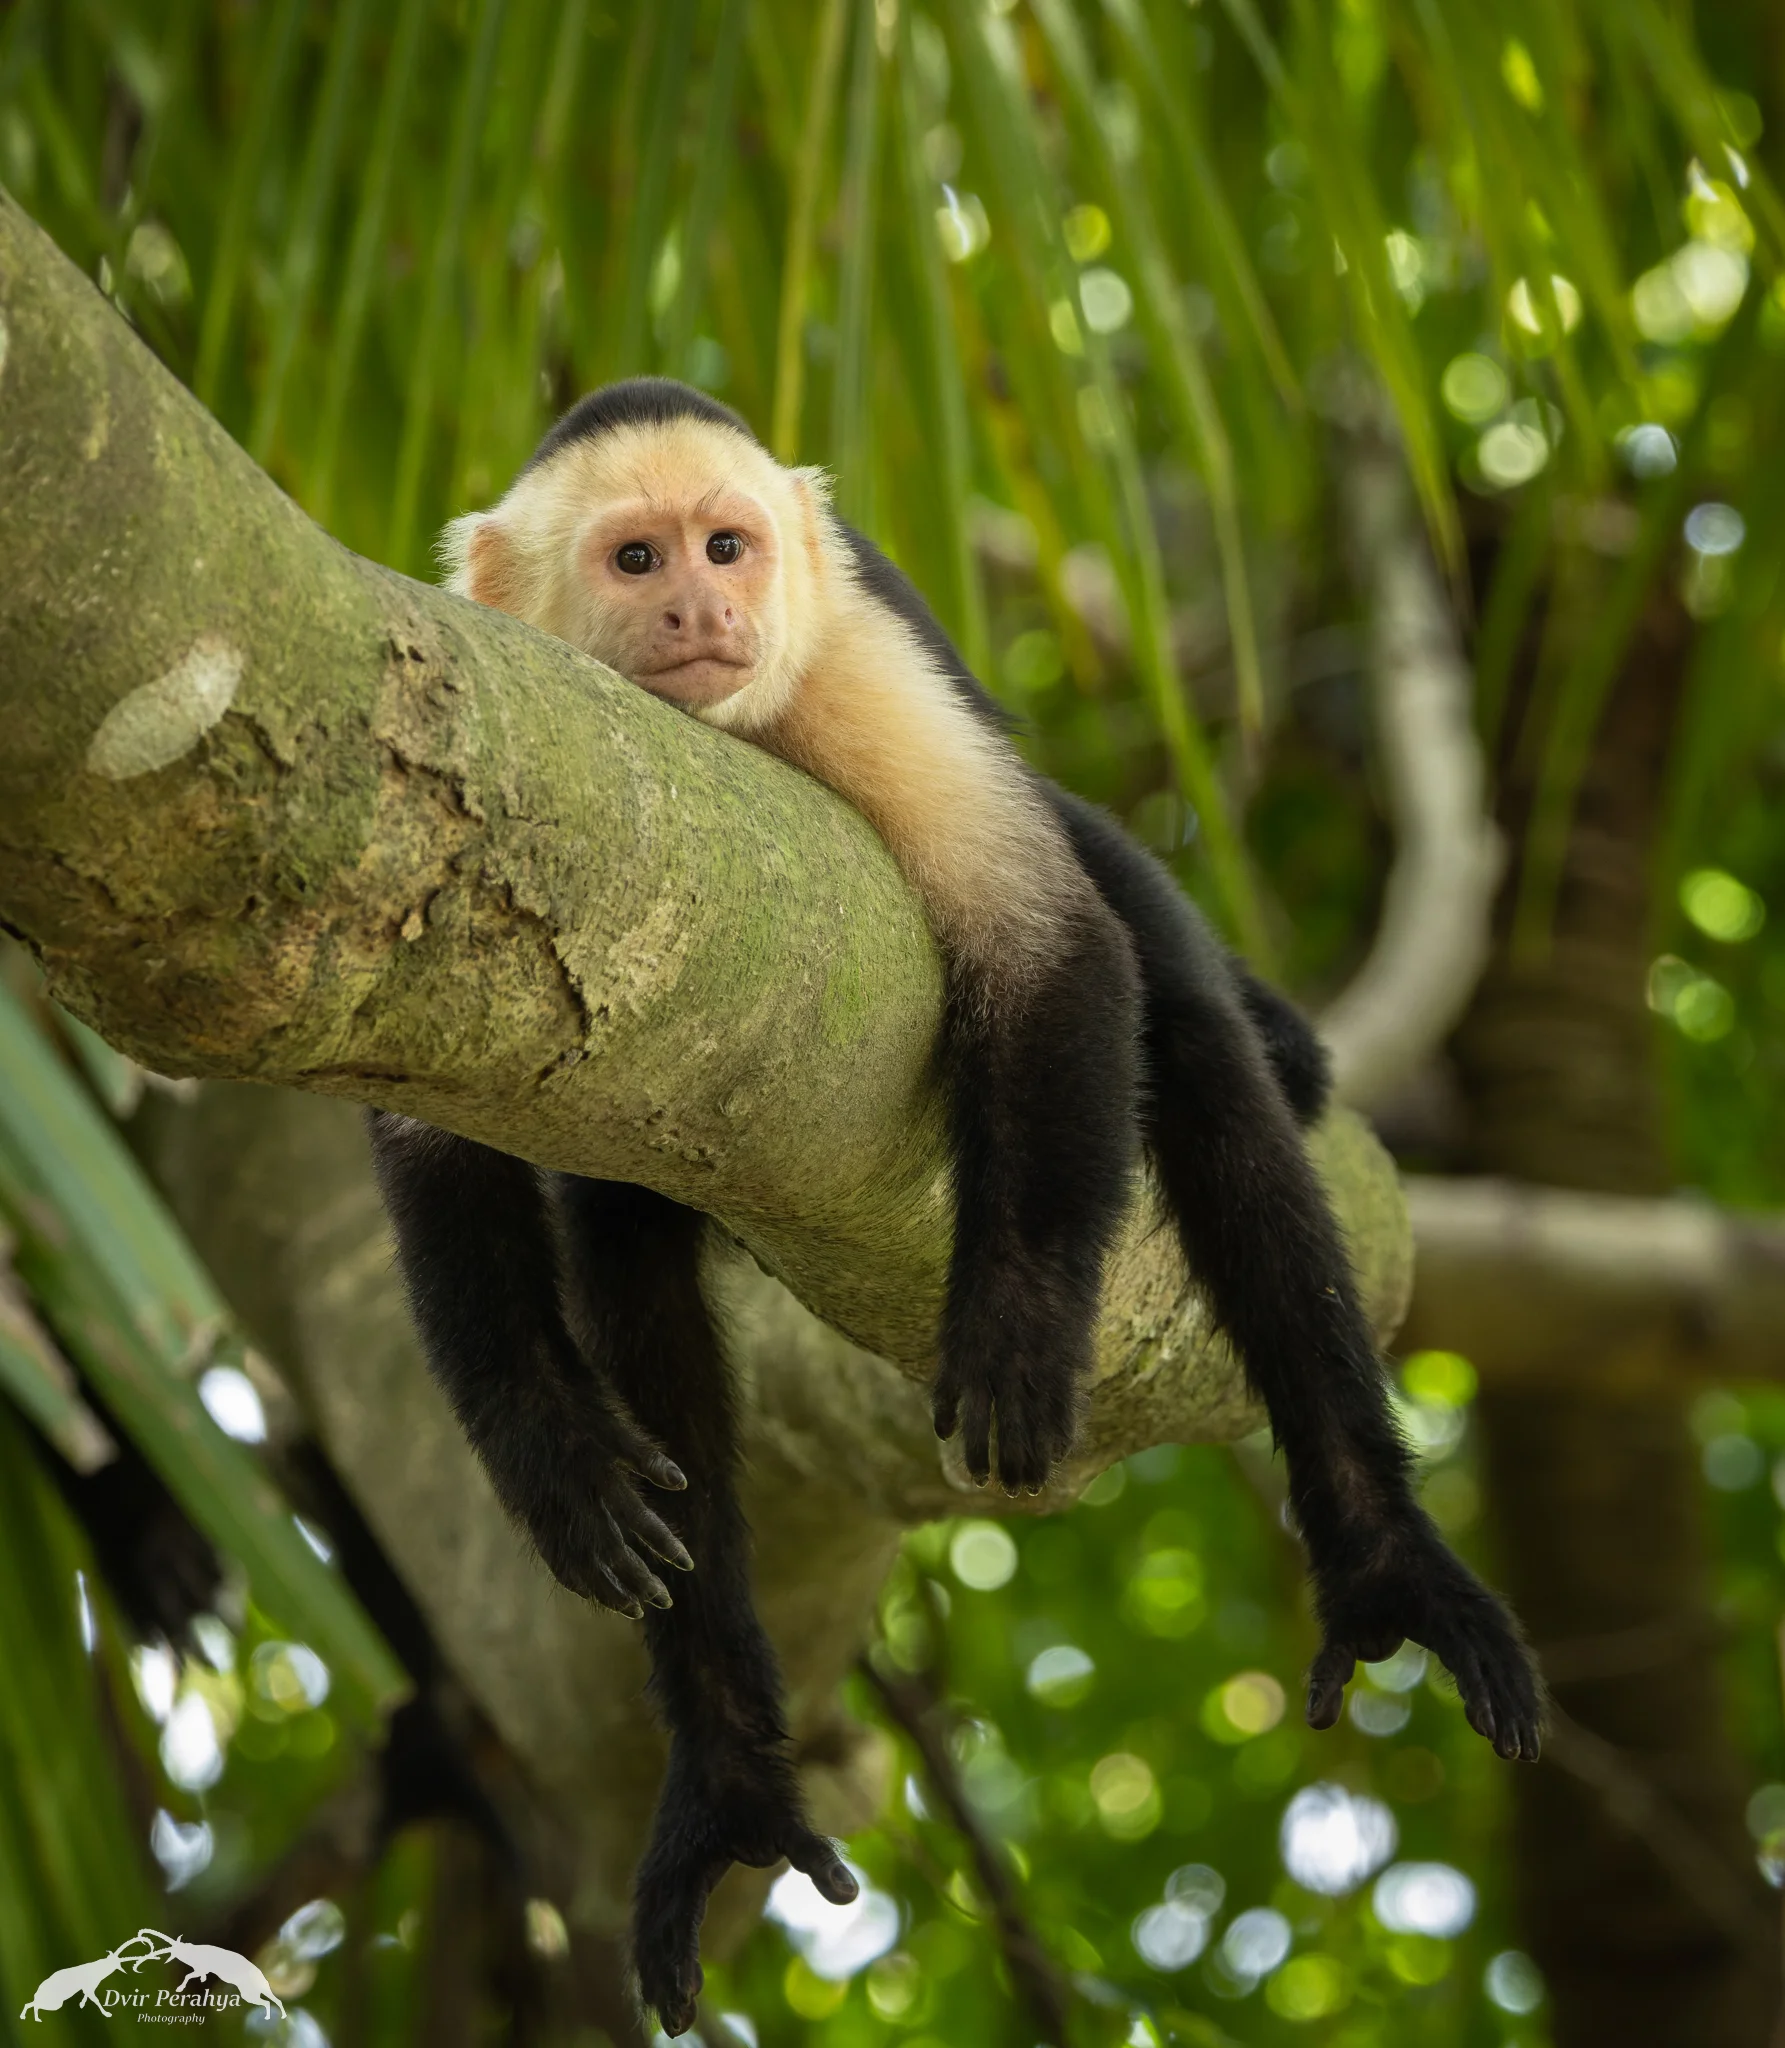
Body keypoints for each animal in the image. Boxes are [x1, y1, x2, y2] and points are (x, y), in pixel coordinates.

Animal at [367, 376, 1542, 2035]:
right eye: (635, 559)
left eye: (724, 546)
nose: (708, 609)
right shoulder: (505, 717)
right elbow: (431, 1131)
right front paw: (554, 1453)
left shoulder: (856, 670)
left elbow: (1052, 950)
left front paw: (1018, 1324)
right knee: (627, 1245)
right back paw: (725, 1761)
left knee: (1188, 1039)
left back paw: (1383, 1559)